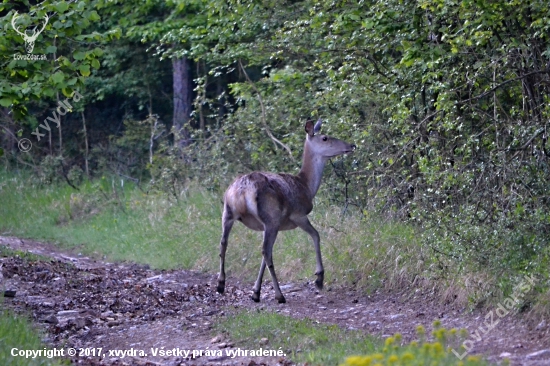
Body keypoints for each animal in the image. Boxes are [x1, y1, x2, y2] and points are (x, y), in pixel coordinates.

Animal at [218, 119, 356, 304]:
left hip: (228, 212)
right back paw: (280, 295)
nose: (351, 145)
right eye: (325, 138)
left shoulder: (265, 226)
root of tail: (242, 190)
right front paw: (319, 278)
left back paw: (221, 284)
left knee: (225, 243)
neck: (307, 187)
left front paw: (256, 291)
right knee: (266, 251)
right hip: (271, 217)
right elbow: (316, 235)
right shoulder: (298, 214)